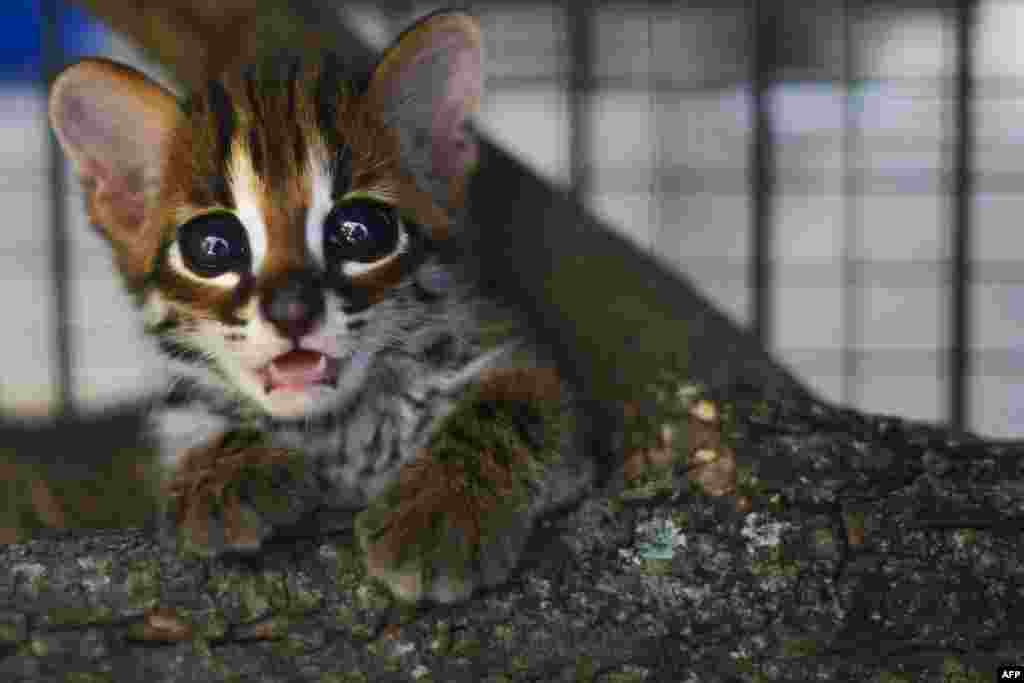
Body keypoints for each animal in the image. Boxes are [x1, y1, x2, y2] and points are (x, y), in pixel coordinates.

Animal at [48, 10, 602, 602]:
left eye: (359, 232)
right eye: (214, 247)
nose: (292, 313)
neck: (341, 428)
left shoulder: (523, 362)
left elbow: (509, 404)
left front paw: (440, 511)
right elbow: (203, 417)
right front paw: (221, 470)